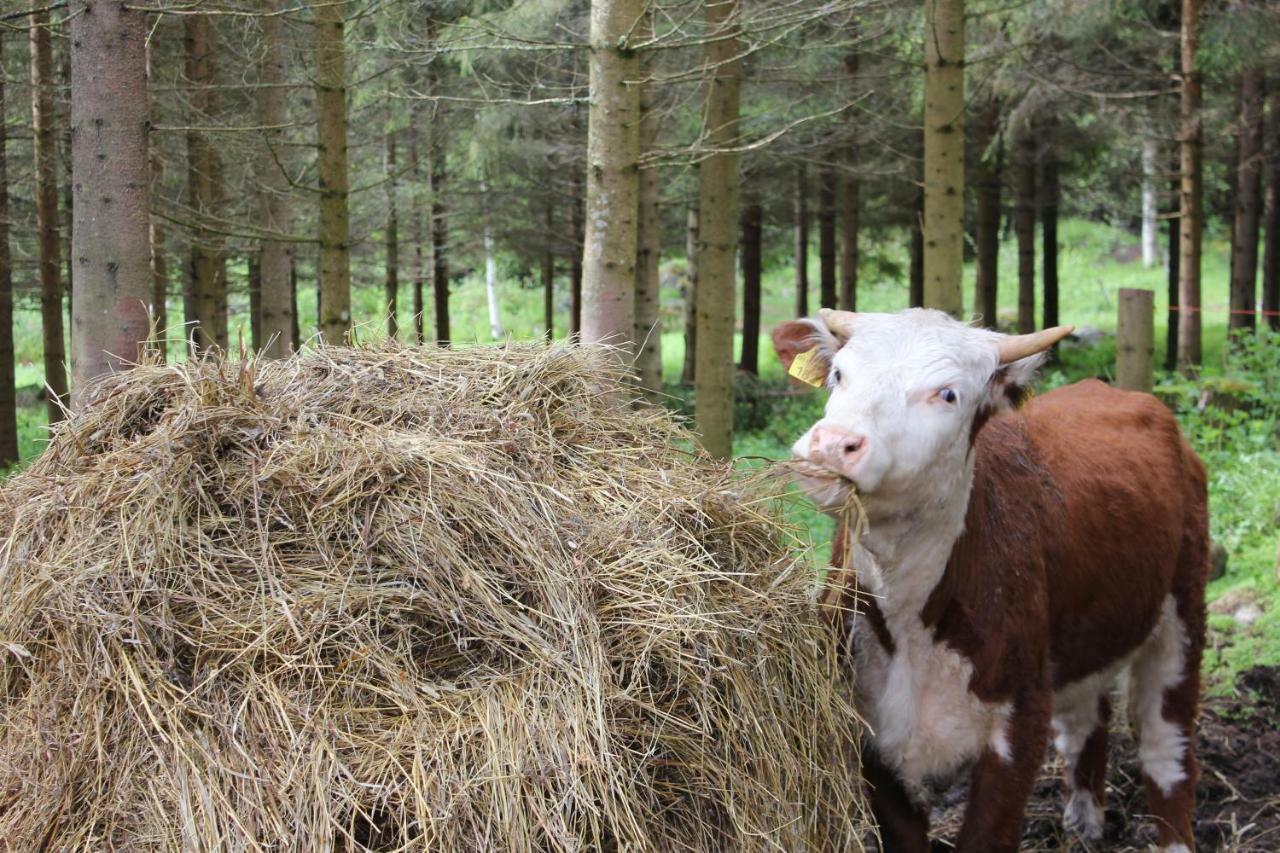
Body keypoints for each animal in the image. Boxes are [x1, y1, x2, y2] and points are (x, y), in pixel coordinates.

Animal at [768, 308, 1208, 850]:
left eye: (948, 394)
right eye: (838, 374)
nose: (833, 444)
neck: (913, 623)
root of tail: (1115, 392)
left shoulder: (1019, 721)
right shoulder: (871, 734)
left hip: (1183, 608)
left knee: (1167, 748)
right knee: (1086, 714)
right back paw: (1086, 818)